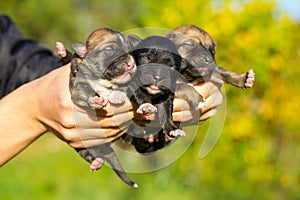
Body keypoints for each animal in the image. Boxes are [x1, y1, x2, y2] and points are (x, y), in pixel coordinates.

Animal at [56, 27, 138, 188]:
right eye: (109, 49)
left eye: (128, 48)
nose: (131, 63)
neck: (102, 79)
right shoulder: (78, 83)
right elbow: (84, 91)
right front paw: (95, 100)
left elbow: (127, 85)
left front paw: (118, 95)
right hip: (81, 144)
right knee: (89, 154)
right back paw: (97, 162)